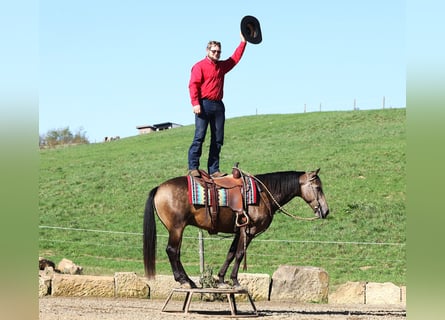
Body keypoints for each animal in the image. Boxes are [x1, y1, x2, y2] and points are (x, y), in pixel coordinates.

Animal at [144, 168, 328, 288]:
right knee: (172, 251)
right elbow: (239, 254)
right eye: (318, 188)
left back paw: (188, 280)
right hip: (176, 228)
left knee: (175, 253)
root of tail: (159, 188)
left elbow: (231, 253)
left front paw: (221, 279)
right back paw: (184, 280)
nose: (326, 211)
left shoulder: (238, 231)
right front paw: (235, 281)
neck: (263, 194)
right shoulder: (249, 231)